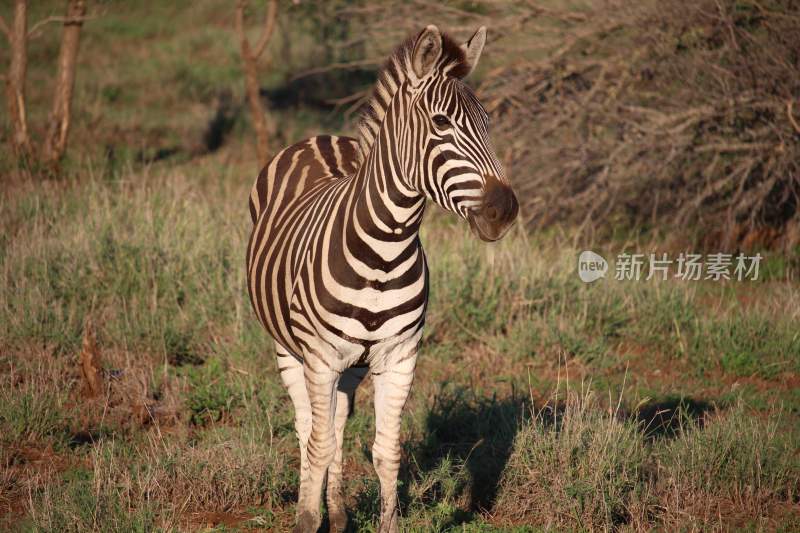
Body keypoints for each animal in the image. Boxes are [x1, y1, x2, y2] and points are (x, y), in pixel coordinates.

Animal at [245, 25, 520, 532]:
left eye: (488, 122)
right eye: (440, 123)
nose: (504, 210)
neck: (384, 248)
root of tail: (319, 136)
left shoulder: (399, 356)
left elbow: (386, 452)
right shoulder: (319, 358)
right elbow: (317, 446)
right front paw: (308, 518)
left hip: (352, 365)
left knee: (335, 423)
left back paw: (338, 512)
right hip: (289, 349)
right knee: (307, 427)